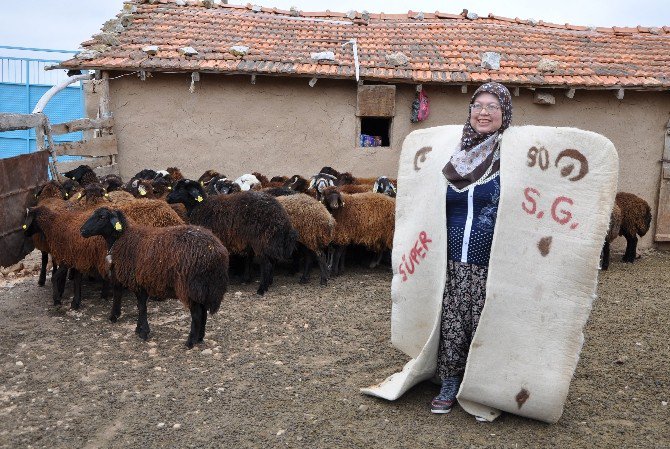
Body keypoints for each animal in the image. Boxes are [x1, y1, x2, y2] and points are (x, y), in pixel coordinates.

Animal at [79, 206, 228, 346]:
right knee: (203, 312)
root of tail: (216, 251)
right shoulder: (142, 283)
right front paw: (139, 329)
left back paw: (190, 342)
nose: (82, 231)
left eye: (102, 217)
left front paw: (143, 332)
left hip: (190, 286)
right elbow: (140, 307)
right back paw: (200, 337)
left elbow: (142, 308)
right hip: (203, 287)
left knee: (197, 314)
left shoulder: (137, 282)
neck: (122, 239)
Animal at [167, 178, 298, 294]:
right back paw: (269, 283)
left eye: (180, 189)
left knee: (266, 264)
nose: (168, 198)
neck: (199, 206)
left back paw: (261, 289)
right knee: (272, 261)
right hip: (270, 240)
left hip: (261, 241)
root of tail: (282, 217)